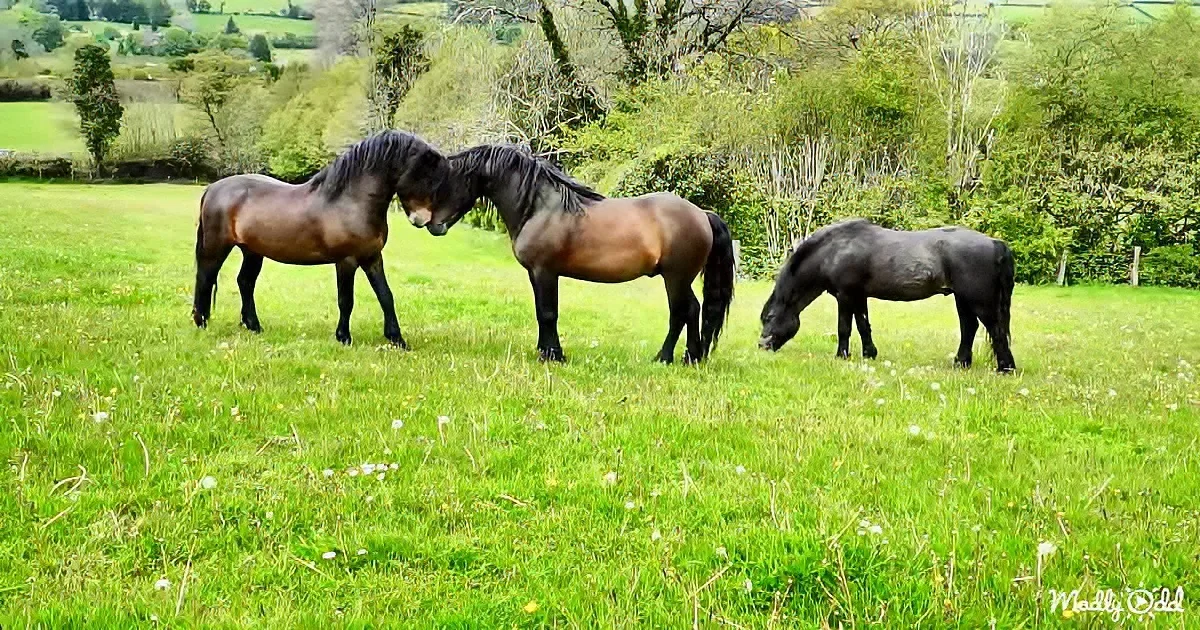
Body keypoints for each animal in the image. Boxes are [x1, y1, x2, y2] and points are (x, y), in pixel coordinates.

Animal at [192, 130, 459, 347]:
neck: (348, 201)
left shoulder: (372, 258)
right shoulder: (346, 261)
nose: (427, 222)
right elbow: (346, 300)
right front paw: (344, 337)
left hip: (253, 251)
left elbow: (386, 296)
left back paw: (254, 325)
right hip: (217, 246)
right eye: (423, 175)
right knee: (206, 277)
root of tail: (213, 188)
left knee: (245, 282)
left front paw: (397, 339)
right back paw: (201, 321)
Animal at [411, 144, 736, 364]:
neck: (541, 207)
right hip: (681, 279)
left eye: (445, 183)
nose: (429, 224)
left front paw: (554, 355)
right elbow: (542, 312)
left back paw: (665, 357)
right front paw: (544, 351)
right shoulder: (536, 274)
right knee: (692, 310)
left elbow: (548, 312)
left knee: (681, 312)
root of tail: (702, 214)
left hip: (675, 278)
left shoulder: (545, 271)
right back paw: (691, 358)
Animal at [758, 219, 1017, 373]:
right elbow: (861, 326)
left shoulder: (846, 296)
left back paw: (1005, 367)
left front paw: (843, 356)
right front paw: (867, 354)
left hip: (979, 301)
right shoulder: (856, 297)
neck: (834, 251)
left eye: (769, 318)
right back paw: (961, 363)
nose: (762, 346)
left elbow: (847, 327)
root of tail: (995, 243)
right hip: (962, 299)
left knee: (995, 330)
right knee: (969, 328)